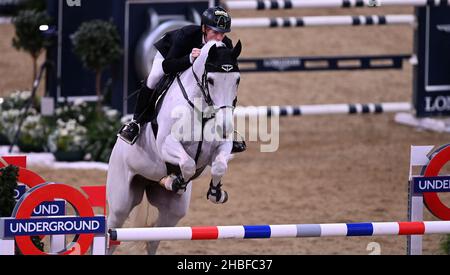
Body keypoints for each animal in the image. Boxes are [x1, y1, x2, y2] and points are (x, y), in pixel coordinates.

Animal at [107, 40, 241, 256]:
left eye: (237, 80)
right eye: (211, 80)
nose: (225, 126)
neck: (201, 106)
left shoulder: (222, 145)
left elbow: (219, 165)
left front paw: (215, 193)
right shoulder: (166, 144)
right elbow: (187, 164)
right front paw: (175, 181)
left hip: (172, 210)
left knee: (154, 237)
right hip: (121, 201)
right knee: (111, 234)